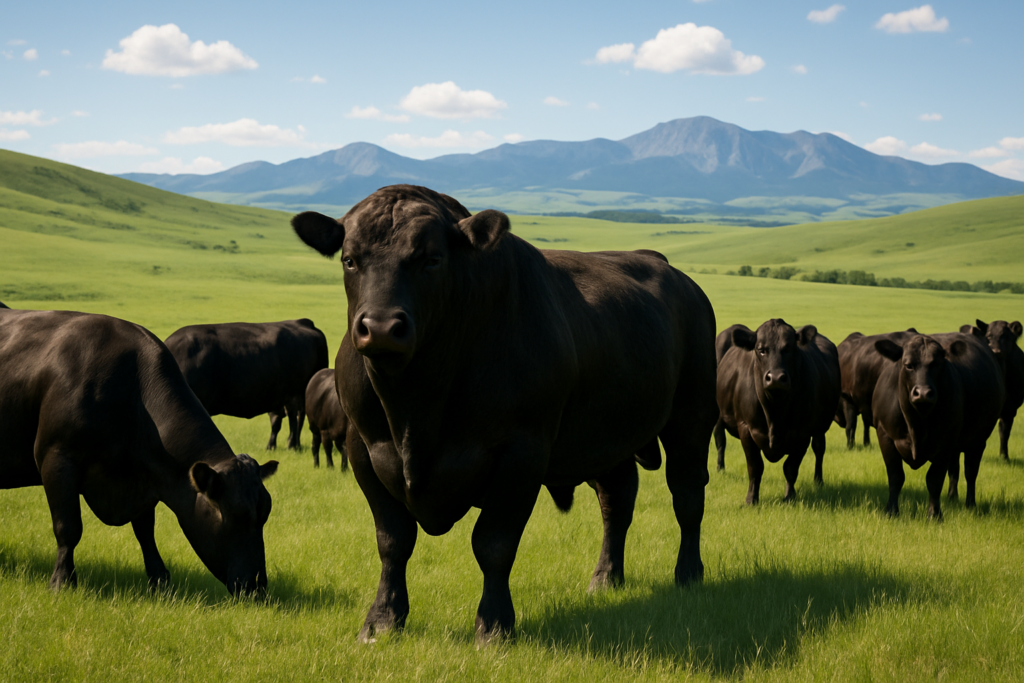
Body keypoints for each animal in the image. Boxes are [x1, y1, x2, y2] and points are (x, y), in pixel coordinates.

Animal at [0, 308, 278, 593]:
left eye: (265, 513)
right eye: (237, 515)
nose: (258, 585)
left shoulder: (145, 477)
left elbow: (145, 531)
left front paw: (159, 578)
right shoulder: (56, 458)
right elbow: (68, 527)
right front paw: (62, 581)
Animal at [165, 319, 329, 450]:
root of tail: (302, 322)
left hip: (294, 394)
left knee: (295, 419)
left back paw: (292, 445)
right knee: (288, 419)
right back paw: (282, 446)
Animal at [291, 184, 718, 644]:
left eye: (431, 259)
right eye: (350, 259)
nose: (383, 327)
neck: (415, 406)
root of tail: (672, 271)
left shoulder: (520, 454)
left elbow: (493, 544)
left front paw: (494, 624)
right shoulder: (363, 449)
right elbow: (393, 540)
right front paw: (382, 620)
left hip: (692, 416)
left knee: (687, 495)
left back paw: (688, 573)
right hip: (609, 436)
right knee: (616, 502)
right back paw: (605, 578)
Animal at [872, 332, 1004, 519]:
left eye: (937, 364)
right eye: (908, 365)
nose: (923, 393)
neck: (916, 422)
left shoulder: (946, 443)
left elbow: (934, 480)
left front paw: (934, 514)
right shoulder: (885, 435)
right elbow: (895, 476)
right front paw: (891, 511)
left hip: (978, 441)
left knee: (971, 472)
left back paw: (970, 504)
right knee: (955, 470)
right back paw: (952, 497)